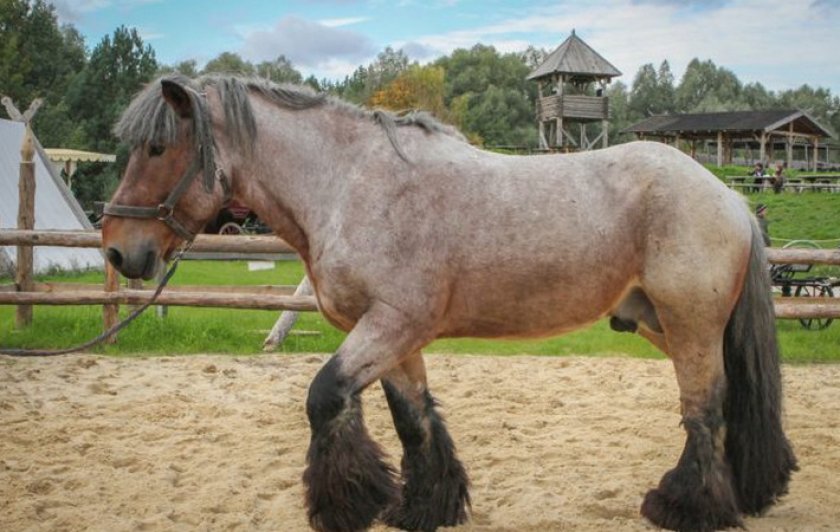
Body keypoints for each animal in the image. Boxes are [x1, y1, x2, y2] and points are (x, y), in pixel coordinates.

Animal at [101, 76, 796, 532]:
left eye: (158, 148)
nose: (117, 249)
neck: (351, 183)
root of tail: (728, 196)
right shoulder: (392, 335)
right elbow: (413, 420)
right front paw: (421, 506)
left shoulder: (390, 324)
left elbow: (325, 398)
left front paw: (346, 505)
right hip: (663, 323)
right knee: (732, 400)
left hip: (689, 325)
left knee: (704, 410)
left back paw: (686, 507)